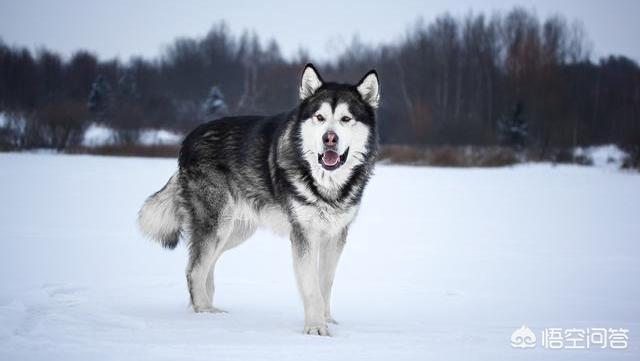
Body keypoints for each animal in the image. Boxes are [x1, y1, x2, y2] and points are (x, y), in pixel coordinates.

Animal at [139, 62, 380, 334]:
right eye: (320, 117)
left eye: (345, 119)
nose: (329, 138)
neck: (326, 184)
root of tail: (188, 139)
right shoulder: (304, 235)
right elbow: (311, 288)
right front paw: (315, 328)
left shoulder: (335, 235)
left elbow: (324, 283)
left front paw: (327, 320)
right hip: (217, 224)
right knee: (194, 270)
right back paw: (204, 316)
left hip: (234, 231)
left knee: (204, 267)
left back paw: (208, 309)